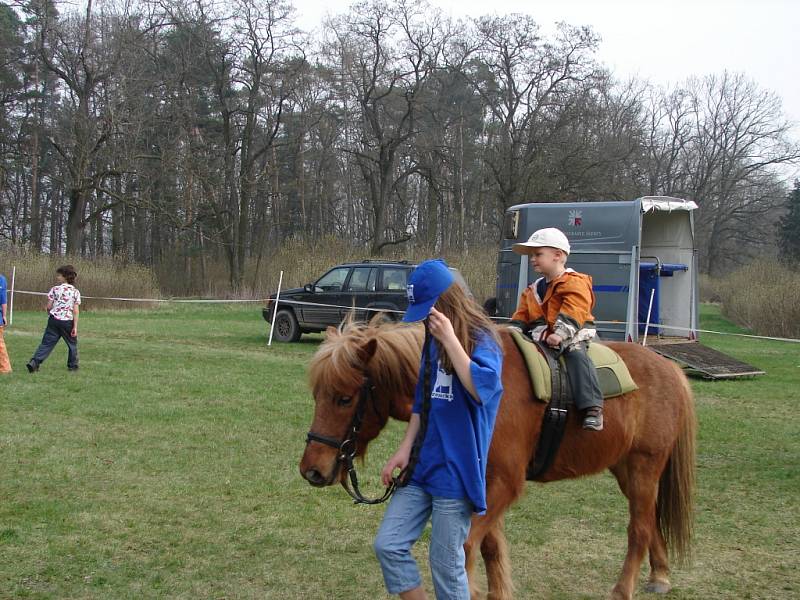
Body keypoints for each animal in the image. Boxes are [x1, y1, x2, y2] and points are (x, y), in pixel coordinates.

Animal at [300, 324, 692, 600]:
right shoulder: (483, 486)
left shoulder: (503, 484)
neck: (471, 386)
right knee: (650, 521)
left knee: (639, 530)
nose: (311, 470)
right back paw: (660, 575)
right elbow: (490, 547)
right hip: (627, 470)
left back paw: (622, 590)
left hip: (643, 467)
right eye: (316, 395)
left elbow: (466, 548)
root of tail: (671, 370)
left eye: (344, 398)